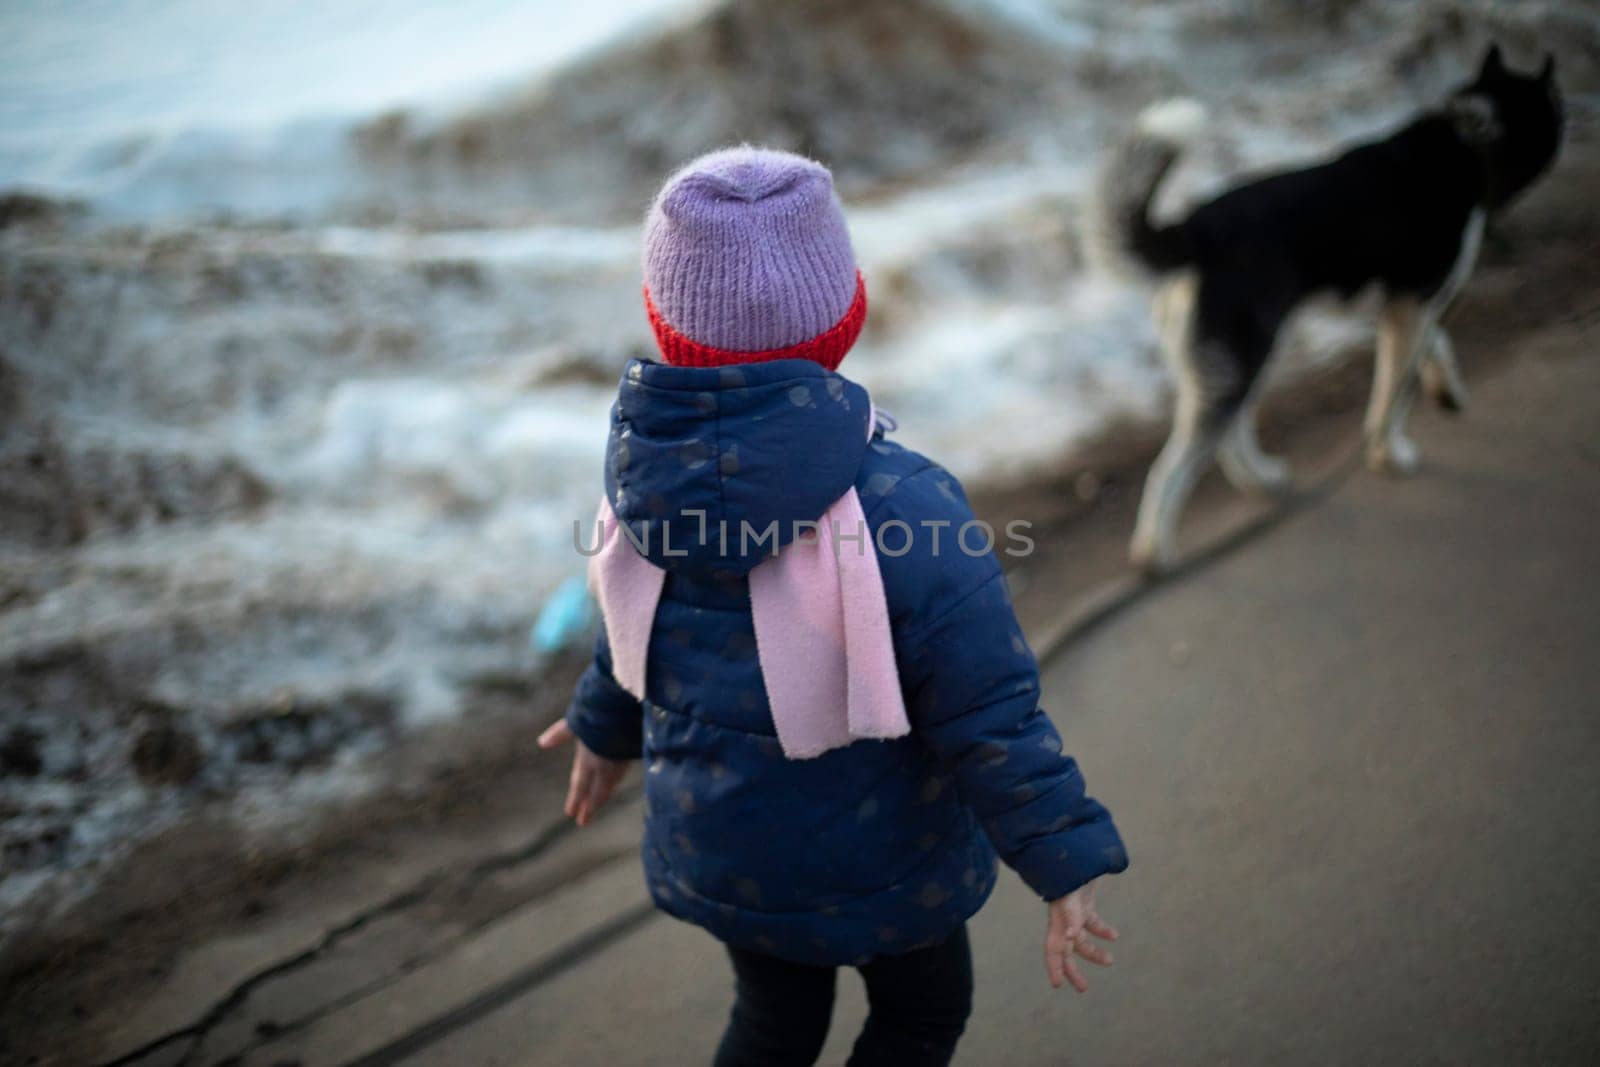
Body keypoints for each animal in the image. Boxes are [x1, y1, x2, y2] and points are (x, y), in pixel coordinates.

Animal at [1094, 45, 1568, 572]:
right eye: (1556, 110)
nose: (1572, 123)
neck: (1470, 140)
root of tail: (1195, 230)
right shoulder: (1412, 307)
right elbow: (1390, 399)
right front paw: (1389, 455)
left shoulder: (1405, 309)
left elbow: (1430, 351)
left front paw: (1446, 391)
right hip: (1243, 359)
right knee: (1170, 469)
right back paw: (1155, 554)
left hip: (1237, 362)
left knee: (1228, 437)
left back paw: (1262, 480)